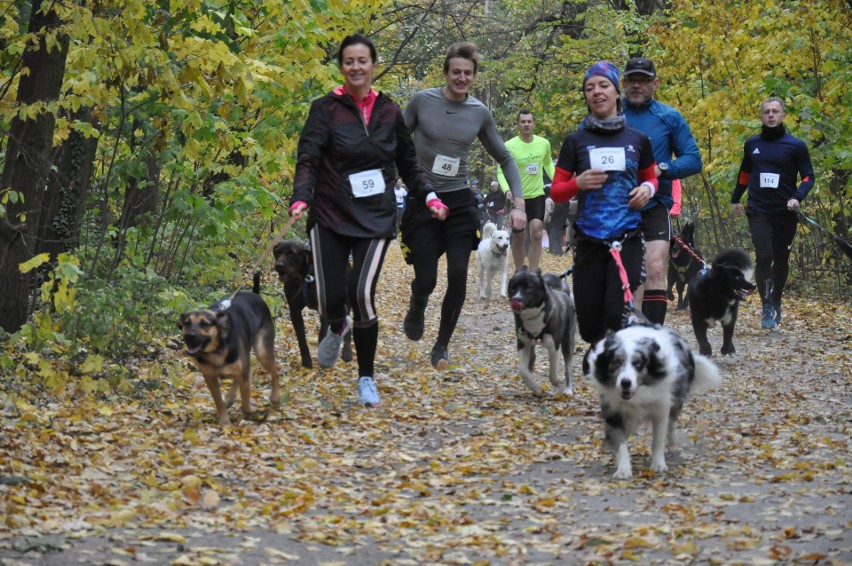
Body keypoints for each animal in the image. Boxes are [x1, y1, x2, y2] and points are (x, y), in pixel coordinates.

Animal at [177, 276, 282, 426]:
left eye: (204, 324)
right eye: (187, 323)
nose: (189, 336)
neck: (216, 351)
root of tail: (255, 294)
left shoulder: (243, 375)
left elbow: (245, 402)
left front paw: (251, 409)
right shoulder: (209, 377)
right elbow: (218, 401)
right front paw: (224, 421)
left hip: (262, 351)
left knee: (275, 370)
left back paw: (275, 399)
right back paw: (230, 397)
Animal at [272, 239, 352, 368]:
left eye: (291, 253)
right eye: (278, 252)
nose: (278, 265)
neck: (304, 277)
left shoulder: (325, 307)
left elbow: (322, 333)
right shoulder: (295, 311)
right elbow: (301, 339)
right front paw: (306, 360)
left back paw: (347, 352)